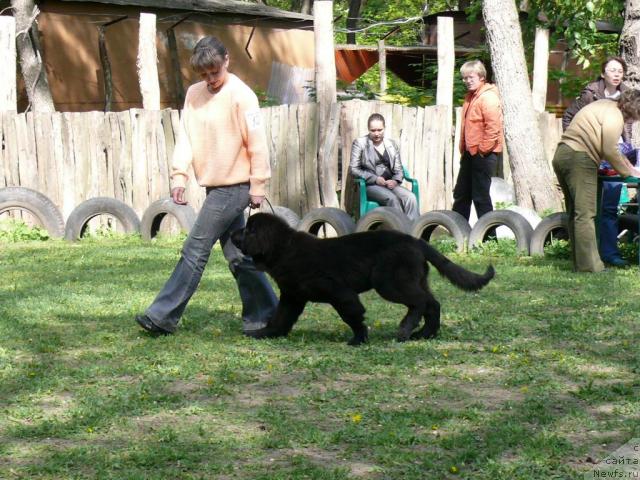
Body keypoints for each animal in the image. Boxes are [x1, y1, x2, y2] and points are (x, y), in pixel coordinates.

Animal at [231, 214, 496, 344]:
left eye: (247, 230)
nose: (233, 233)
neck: (283, 249)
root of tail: (416, 240)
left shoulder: (338, 291)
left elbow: (352, 314)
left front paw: (358, 339)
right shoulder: (292, 296)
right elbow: (281, 318)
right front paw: (265, 333)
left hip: (390, 283)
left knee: (420, 302)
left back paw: (405, 330)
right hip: (414, 280)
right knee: (432, 304)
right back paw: (424, 334)